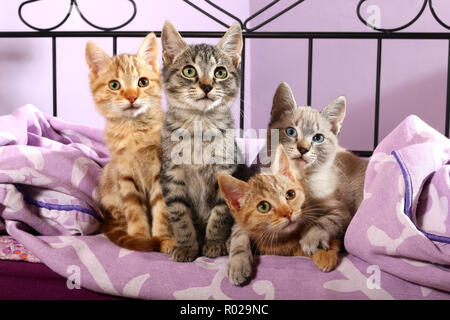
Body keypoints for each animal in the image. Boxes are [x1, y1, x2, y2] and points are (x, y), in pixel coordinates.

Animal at [84, 32, 174, 252]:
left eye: (143, 82)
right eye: (114, 85)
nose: (132, 97)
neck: (134, 132)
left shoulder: (161, 172)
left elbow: (162, 209)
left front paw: (164, 238)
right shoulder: (124, 173)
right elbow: (133, 209)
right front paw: (140, 237)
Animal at [160, 21, 248, 262]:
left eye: (220, 72)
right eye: (189, 71)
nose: (207, 86)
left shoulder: (226, 172)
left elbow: (220, 213)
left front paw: (214, 242)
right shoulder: (171, 176)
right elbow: (180, 216)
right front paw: (186, 246)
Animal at [268, 82, 366, 255]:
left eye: (318, 138)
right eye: (291, 131)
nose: (303, 149)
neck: (300, 177)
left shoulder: (342, 211)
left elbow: (326, 221)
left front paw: (312, 238)